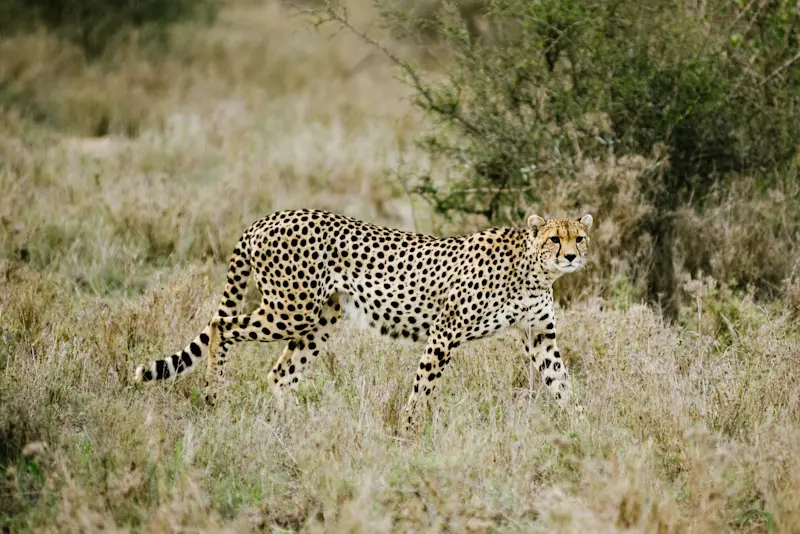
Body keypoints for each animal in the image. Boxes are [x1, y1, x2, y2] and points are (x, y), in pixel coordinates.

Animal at [133, 209, 593, 434]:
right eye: (555, 238)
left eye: (580, 237)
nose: (572, 256)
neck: (536, 270)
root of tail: (269, 218)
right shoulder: (444, 333)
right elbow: (421, 389)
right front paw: (407, 433)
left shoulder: (540, 336)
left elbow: (562, 383)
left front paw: (582, 428)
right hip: (291, 308)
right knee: (221, 327)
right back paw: (213, 396)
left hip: (320, 319)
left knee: (280, 372)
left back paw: (297, 426)